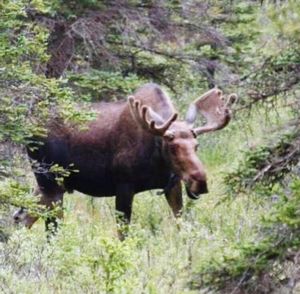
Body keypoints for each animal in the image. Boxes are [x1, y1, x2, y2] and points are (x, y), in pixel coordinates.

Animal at [13, 83, 234, 239]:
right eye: (172, 147)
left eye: (196, 146)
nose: (200, 181)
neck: (156, 157)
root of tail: (27, 131)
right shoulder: (124, 186)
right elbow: (122, 234)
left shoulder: (172, 184)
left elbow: (182, 223)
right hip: (51, 182)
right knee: (49, 227)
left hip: (50, 185)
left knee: (21, 215)